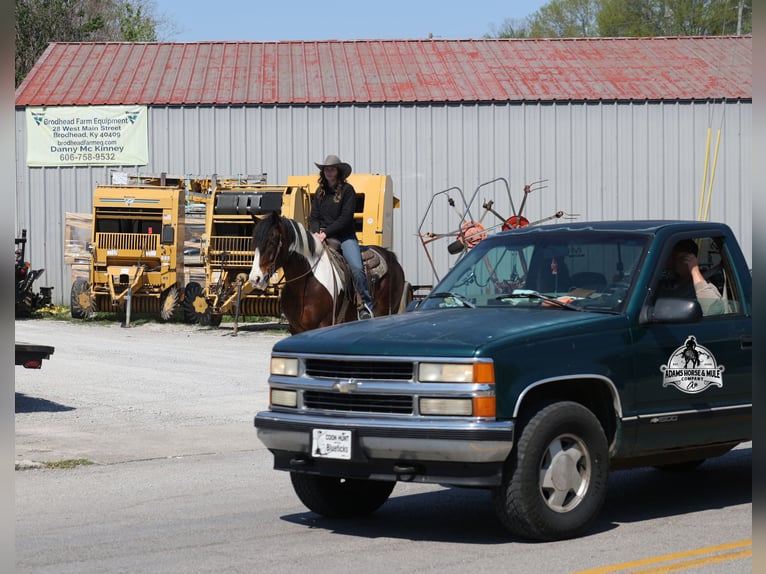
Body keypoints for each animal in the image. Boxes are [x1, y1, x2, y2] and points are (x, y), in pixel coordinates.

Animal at [248, 211, 409, 334]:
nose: (255, 278)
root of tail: (391, 256)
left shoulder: (324, 324)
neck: (304, 286)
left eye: (272, 242)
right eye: (253, 243)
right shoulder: (295, 329)